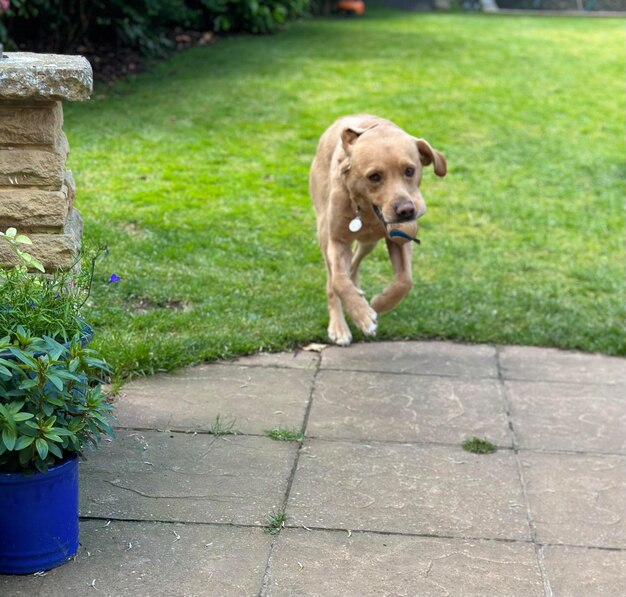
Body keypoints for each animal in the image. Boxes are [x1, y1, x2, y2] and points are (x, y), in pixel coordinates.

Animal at [308, 114, 444, 346]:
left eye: (410, 170)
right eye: (374, 176)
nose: (406, 211)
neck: (367, 213)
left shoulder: (400, 240)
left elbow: (404, 281)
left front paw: (379, 303)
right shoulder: (337, 241)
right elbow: (338, 281)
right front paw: (362, 315)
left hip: (368, 243)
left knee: (354, 263)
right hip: (324, 233)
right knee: (332, 279)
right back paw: (339, 325)